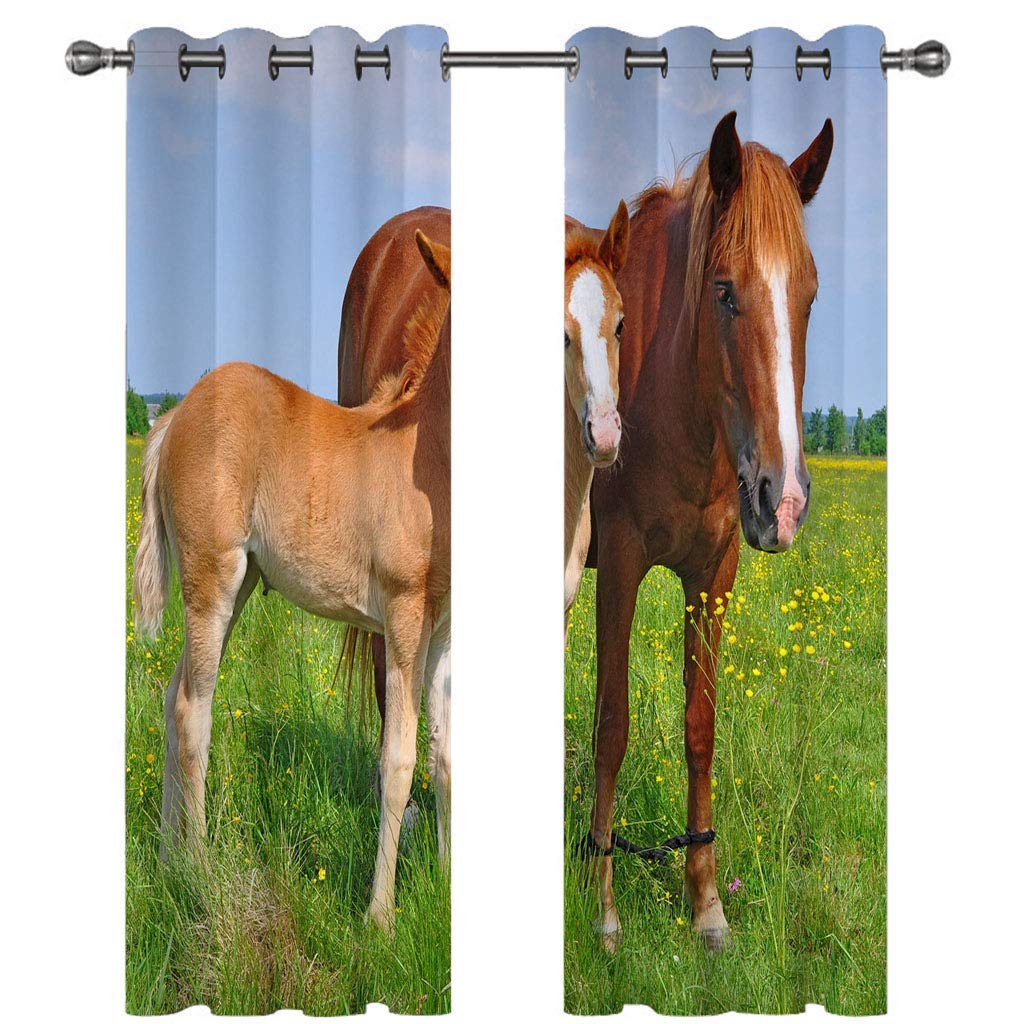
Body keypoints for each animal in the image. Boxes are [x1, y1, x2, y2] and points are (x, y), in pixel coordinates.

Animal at [133, 229, 452, 932]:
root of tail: (172, 418)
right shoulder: (404, 620)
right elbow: (398, 759)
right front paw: (380, 919)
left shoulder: (445, 631)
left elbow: (446, 755)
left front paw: (449, 882)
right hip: (212, 580)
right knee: (194, 710)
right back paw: (199, 873)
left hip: (240, 587)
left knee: (171, 698)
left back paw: (166, 862)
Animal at [583, 111, 833, 952]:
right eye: (724, 291)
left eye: (810, 293)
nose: (783, 501)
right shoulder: (620, 567)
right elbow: (613, 725)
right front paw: (602, 908)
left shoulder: (713, 575)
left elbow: (700, 728)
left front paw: (705, 906)